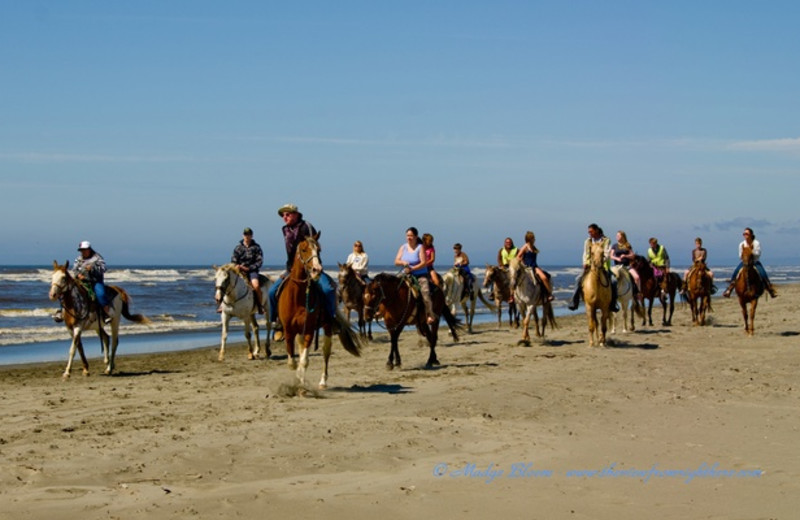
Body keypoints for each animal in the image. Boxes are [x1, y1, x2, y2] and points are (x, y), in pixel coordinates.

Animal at [276, 234, 360, 388]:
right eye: (304, 249)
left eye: (319, 249)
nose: (316, 270)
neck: (298, 296)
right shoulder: (289, 330)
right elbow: (292, 361)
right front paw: (298, 378)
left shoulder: (309, 329)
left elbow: (304, 360)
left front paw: (301, 384)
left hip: (327, 327)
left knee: (326, 351)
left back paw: (323, 381)